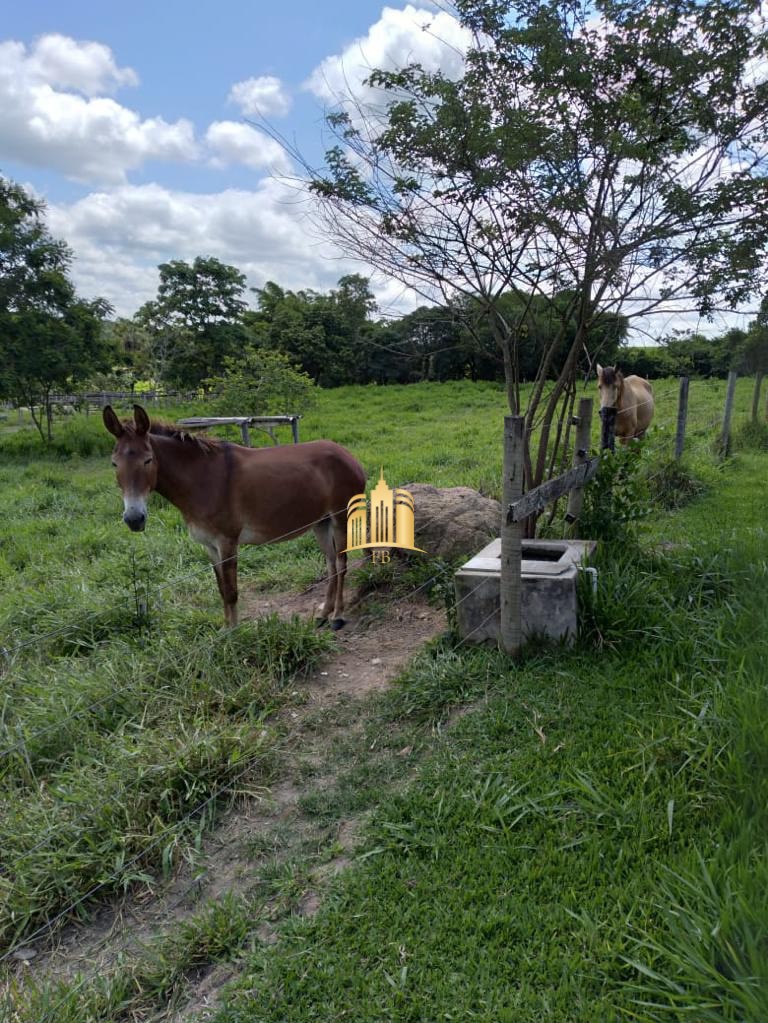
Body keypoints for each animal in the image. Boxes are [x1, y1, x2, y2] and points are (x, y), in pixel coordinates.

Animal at [104, 403, 366, 626]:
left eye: (148, 460)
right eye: (114, 464)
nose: (134, 519)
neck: (201, 479)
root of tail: (346, 454)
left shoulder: (227, 542)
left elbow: (231, 592)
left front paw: (235, 636)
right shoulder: (209, 546)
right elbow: (221, 589)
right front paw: (226, 631)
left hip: (341, 518)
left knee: (341, 563)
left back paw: (338, 616)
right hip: (321, 522)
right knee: (331, 564)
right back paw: (324, 613)